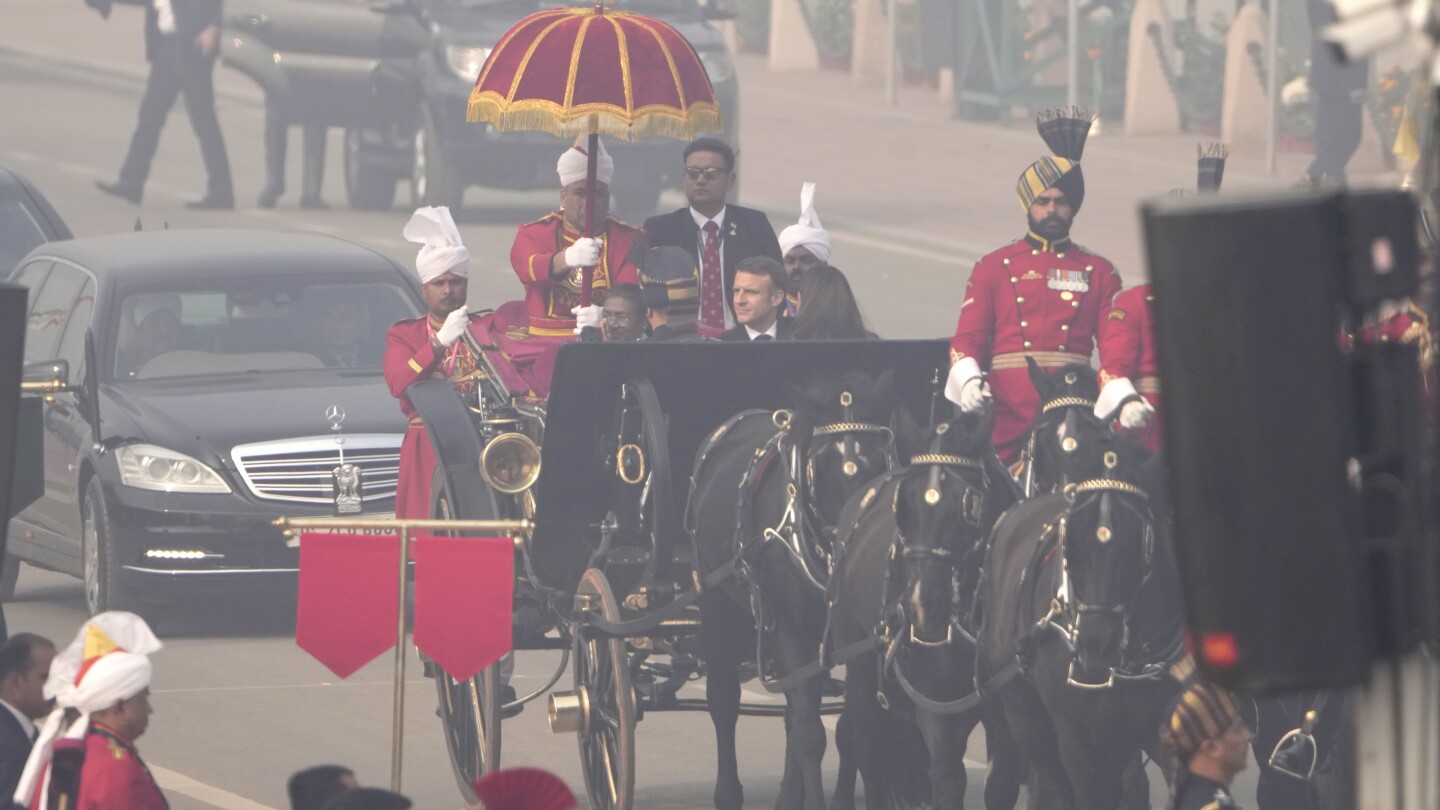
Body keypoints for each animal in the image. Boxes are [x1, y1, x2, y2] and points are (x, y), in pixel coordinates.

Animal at [685, 368, 898, 801]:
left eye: (876, 464)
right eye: (820, 466)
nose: (852, 544)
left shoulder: (851, 641)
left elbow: (852, 727)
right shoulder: (790, 633)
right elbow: (811, 735)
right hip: (717, 603)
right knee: (724, 700)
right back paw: (728, 792)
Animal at [829, 409, 1031, 807]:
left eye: (967, 506)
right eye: (904, 505)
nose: (922, 606)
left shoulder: (1005, 711)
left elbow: (1001, 784)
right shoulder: (934, 708)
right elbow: (947, 781)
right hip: (860, 674)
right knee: (868, 754)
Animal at [979, 429, 1192, 807]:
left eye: (1138, 537)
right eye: (1069, 538)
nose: (1096, 645)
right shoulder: (1077, 738)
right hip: (1024, 712)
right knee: (1053, 784)